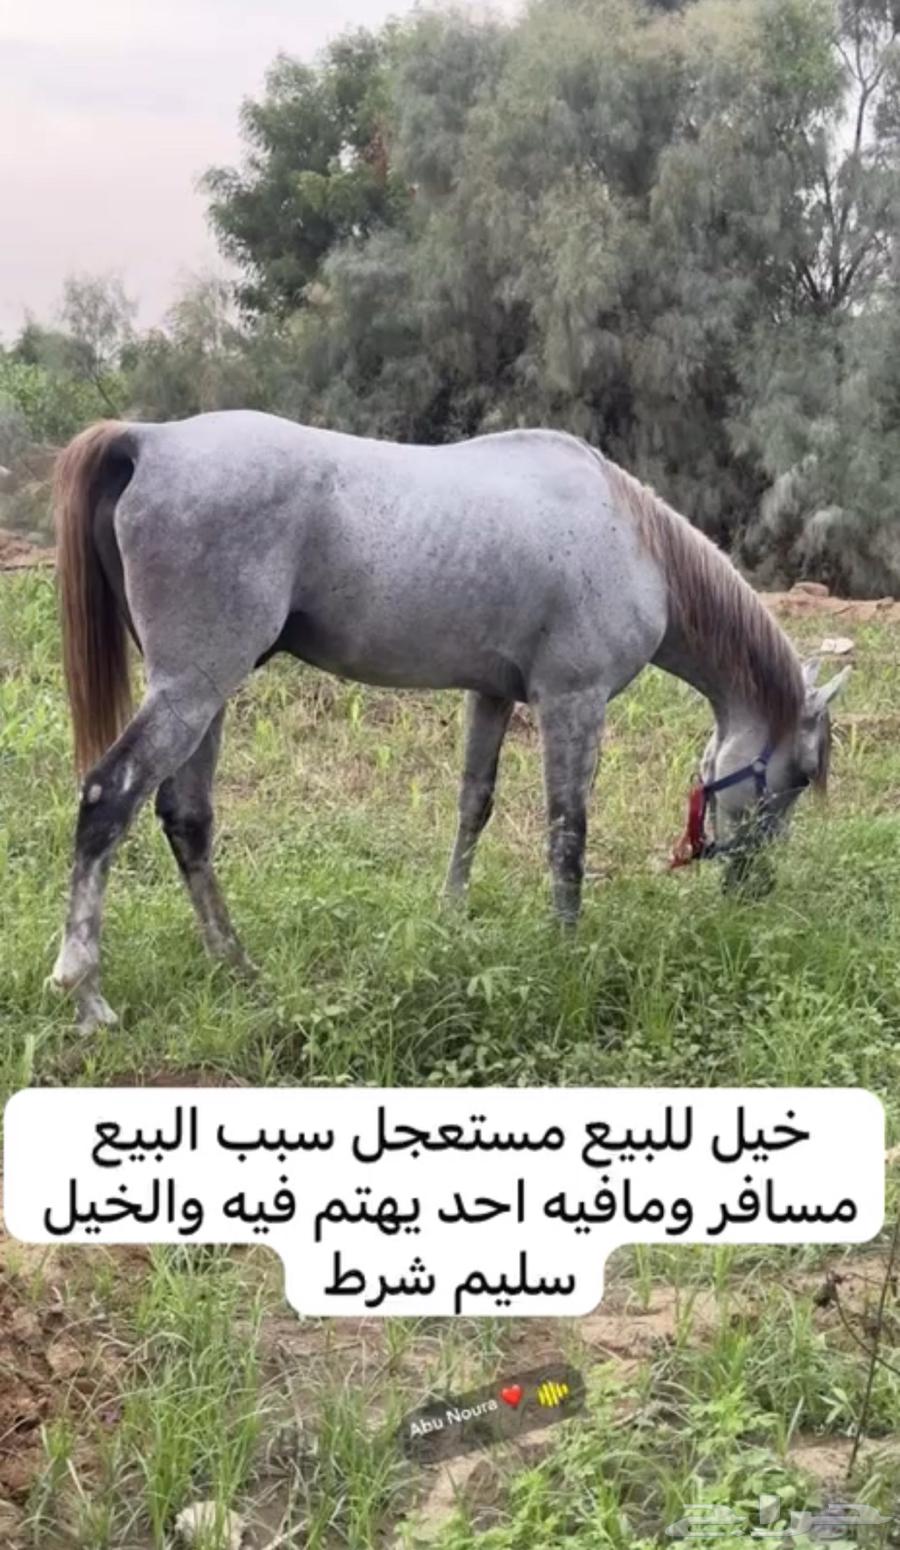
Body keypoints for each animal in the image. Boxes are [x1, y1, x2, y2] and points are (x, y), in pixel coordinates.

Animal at [49, 411, 848, 1031]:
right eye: (799, 774)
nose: (754, 886)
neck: (634, 541)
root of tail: (149, 440)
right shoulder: (574, 702)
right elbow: (567, 832)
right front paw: (565, 950)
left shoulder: (490, 696)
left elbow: (475, 806)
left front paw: (451, 919)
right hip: (191, 689)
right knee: (108, 799)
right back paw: (87, 995)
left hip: (205, 695)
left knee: (186, 817)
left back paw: (238, 965)